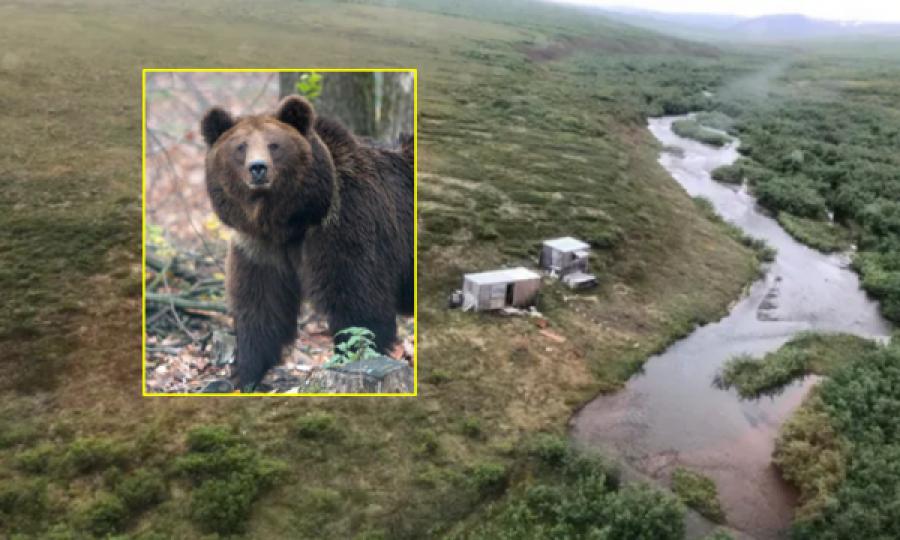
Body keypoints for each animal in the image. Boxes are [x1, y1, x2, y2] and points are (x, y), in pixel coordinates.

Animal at [200, 95, 414, 392]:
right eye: (240, 147)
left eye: (274, 144)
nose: (258, 168)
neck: (290, 223)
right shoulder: (259, 249)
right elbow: (261, 309)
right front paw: (242, 377)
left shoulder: (346, 229)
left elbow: (358, 309)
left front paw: (345, 361)